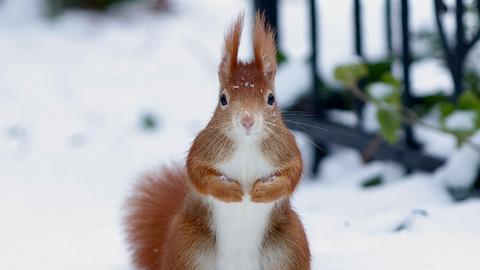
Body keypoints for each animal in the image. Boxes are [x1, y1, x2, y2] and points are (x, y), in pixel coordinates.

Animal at [125, 12, 310, 270]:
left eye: (271, 98)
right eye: (223, 99)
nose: (247, 120)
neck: (246, 144)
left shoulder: (286, 149)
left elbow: (293, 173)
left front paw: (262, 191)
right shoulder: (203, 148)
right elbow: (197, 172)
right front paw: (231, 191)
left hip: (289, 249)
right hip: (187, 249)